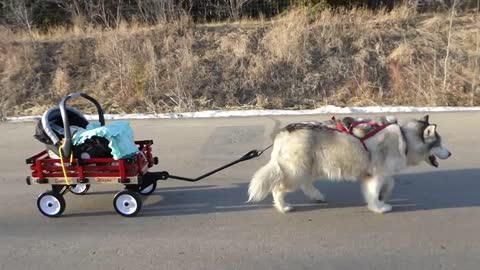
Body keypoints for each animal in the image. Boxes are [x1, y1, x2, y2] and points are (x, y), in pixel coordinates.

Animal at [249, 115, 452, 214]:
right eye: (439, 144)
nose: (450, 153)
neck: (405, 138)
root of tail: (284, 131)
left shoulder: (380, 172)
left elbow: (390, 183)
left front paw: (383, 196)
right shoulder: (376, 174)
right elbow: (374, 192)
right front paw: (378, 207)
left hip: (313, 166)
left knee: (306, 184)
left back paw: (317, 195)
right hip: (297, 171)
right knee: (278, 188)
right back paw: (283, 207)